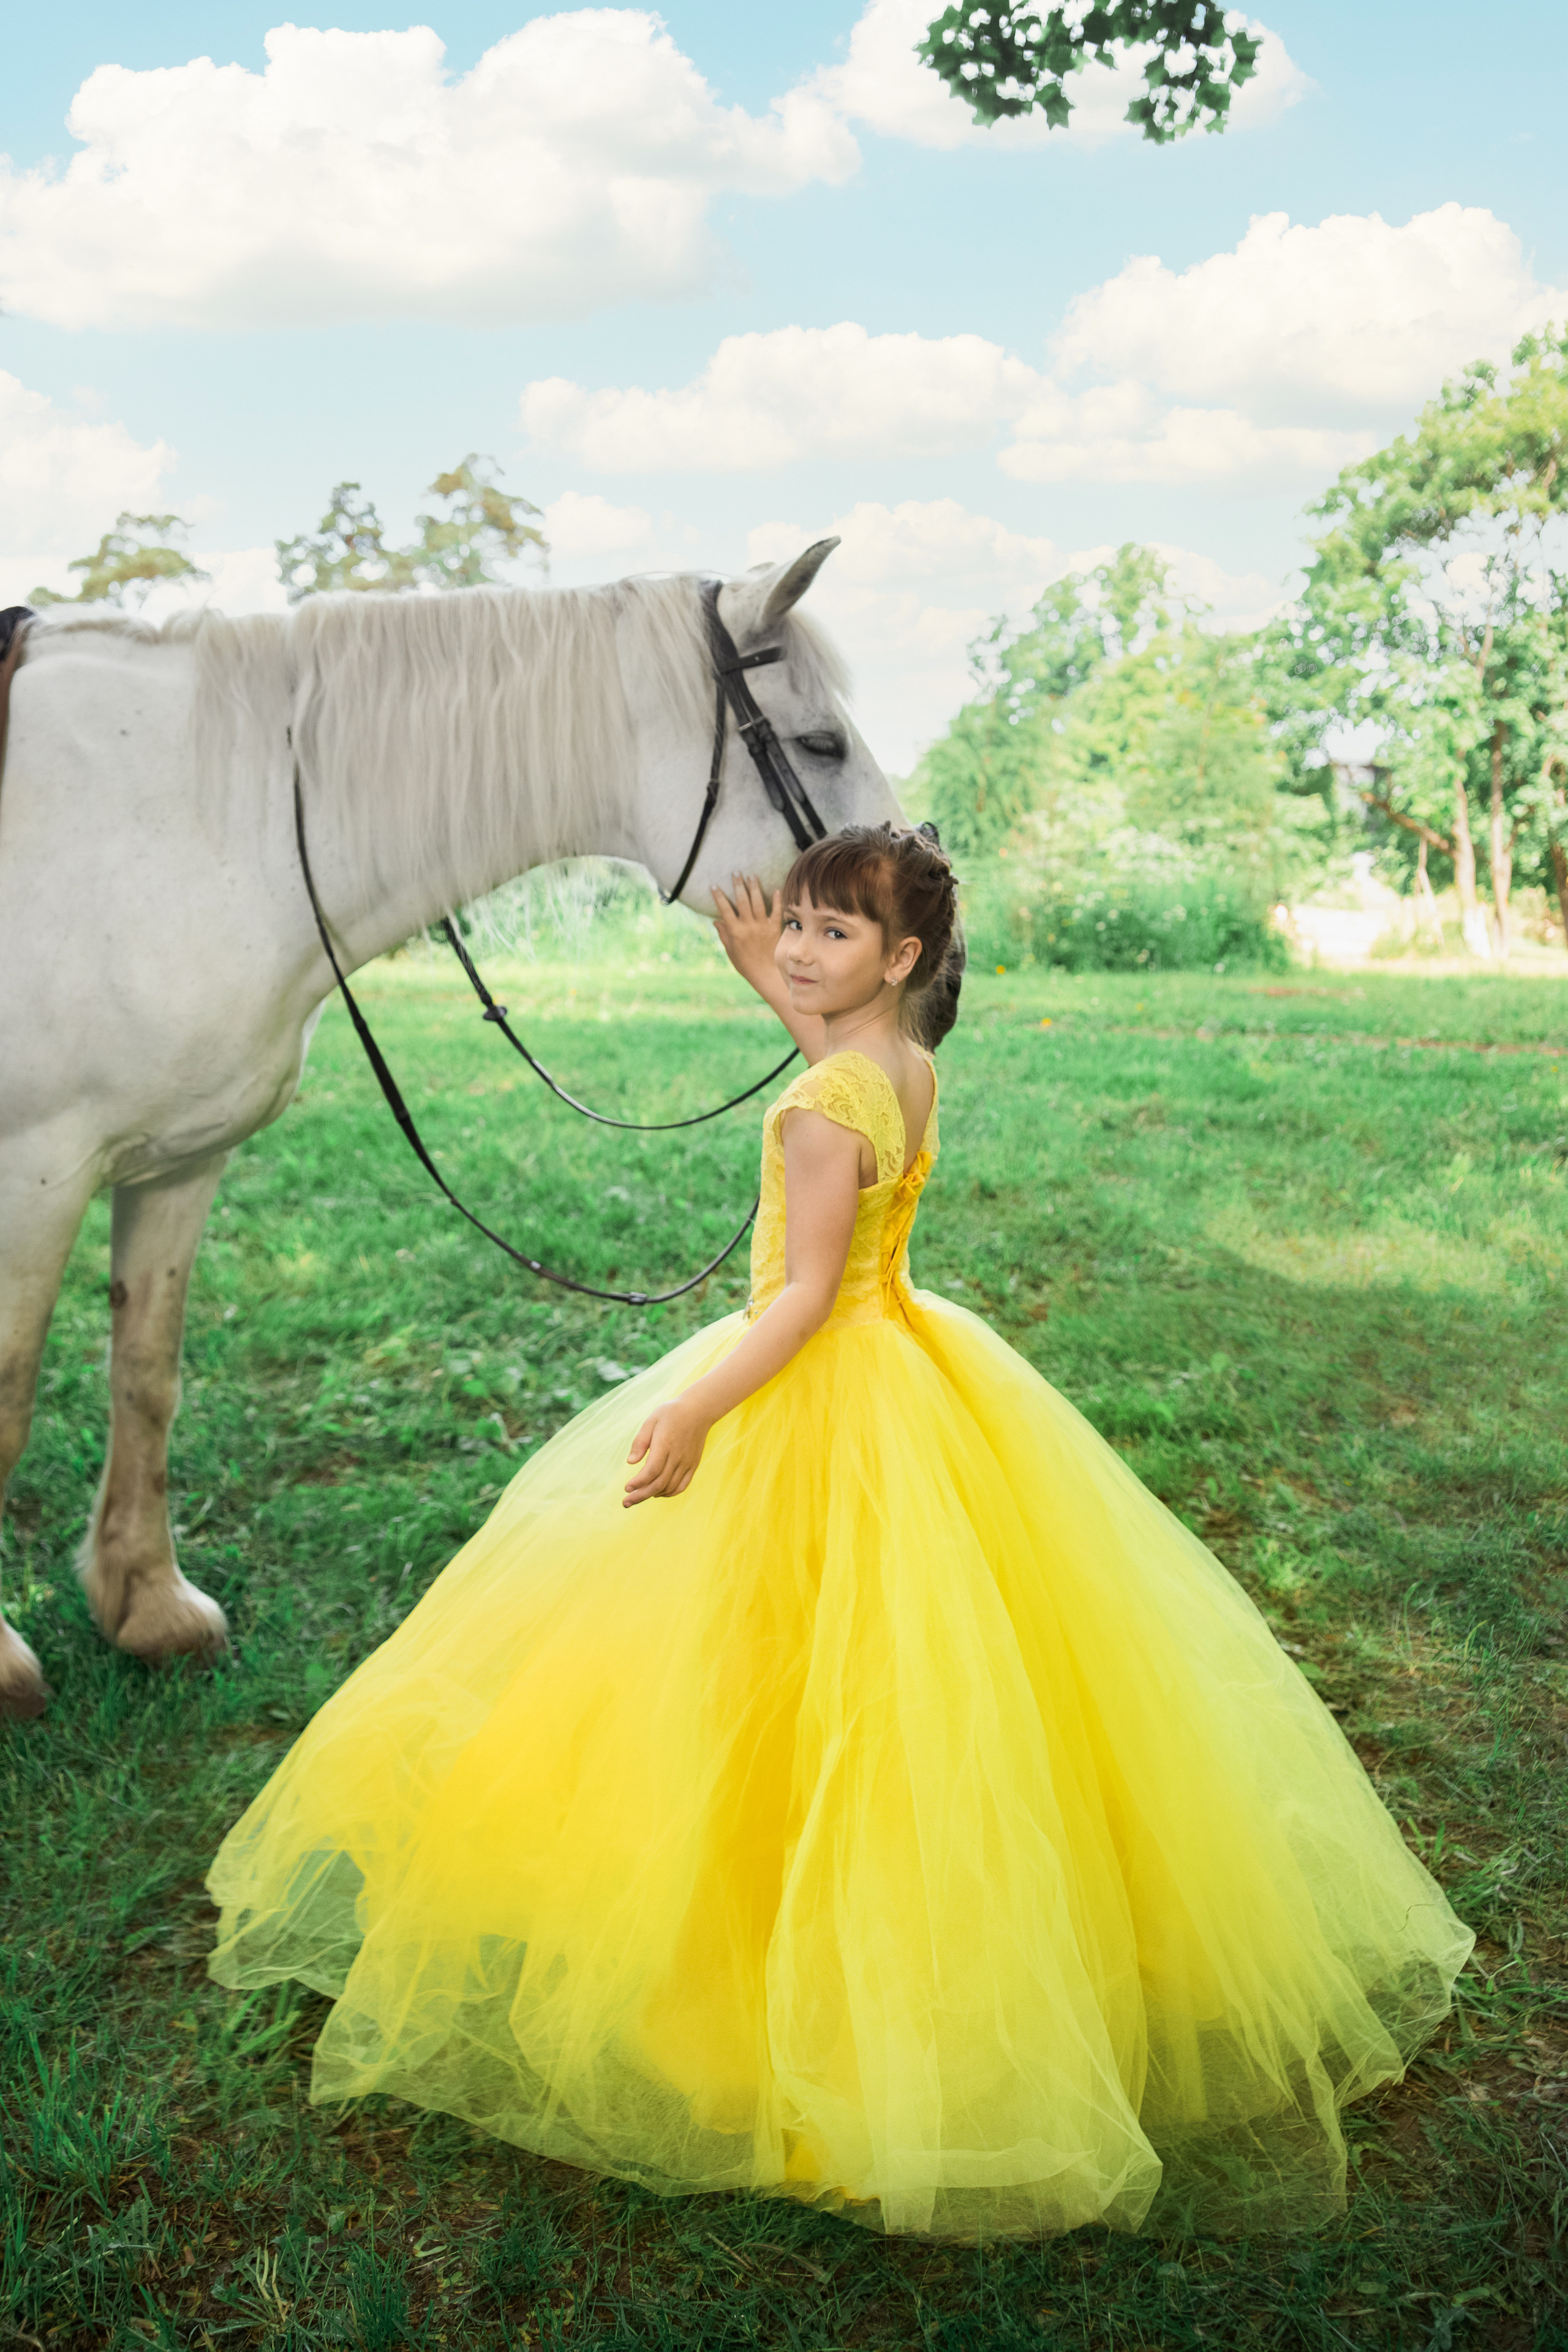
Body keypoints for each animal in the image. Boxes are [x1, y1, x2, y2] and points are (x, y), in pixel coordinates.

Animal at [0, 540, 904, 1719]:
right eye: (821, 743)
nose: (936, 901)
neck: (200, 824)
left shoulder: (176, 1165)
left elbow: (147, 1376)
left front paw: (147, 1608)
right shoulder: (35, 1171)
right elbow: (8, 1399)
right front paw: (4, 1665)